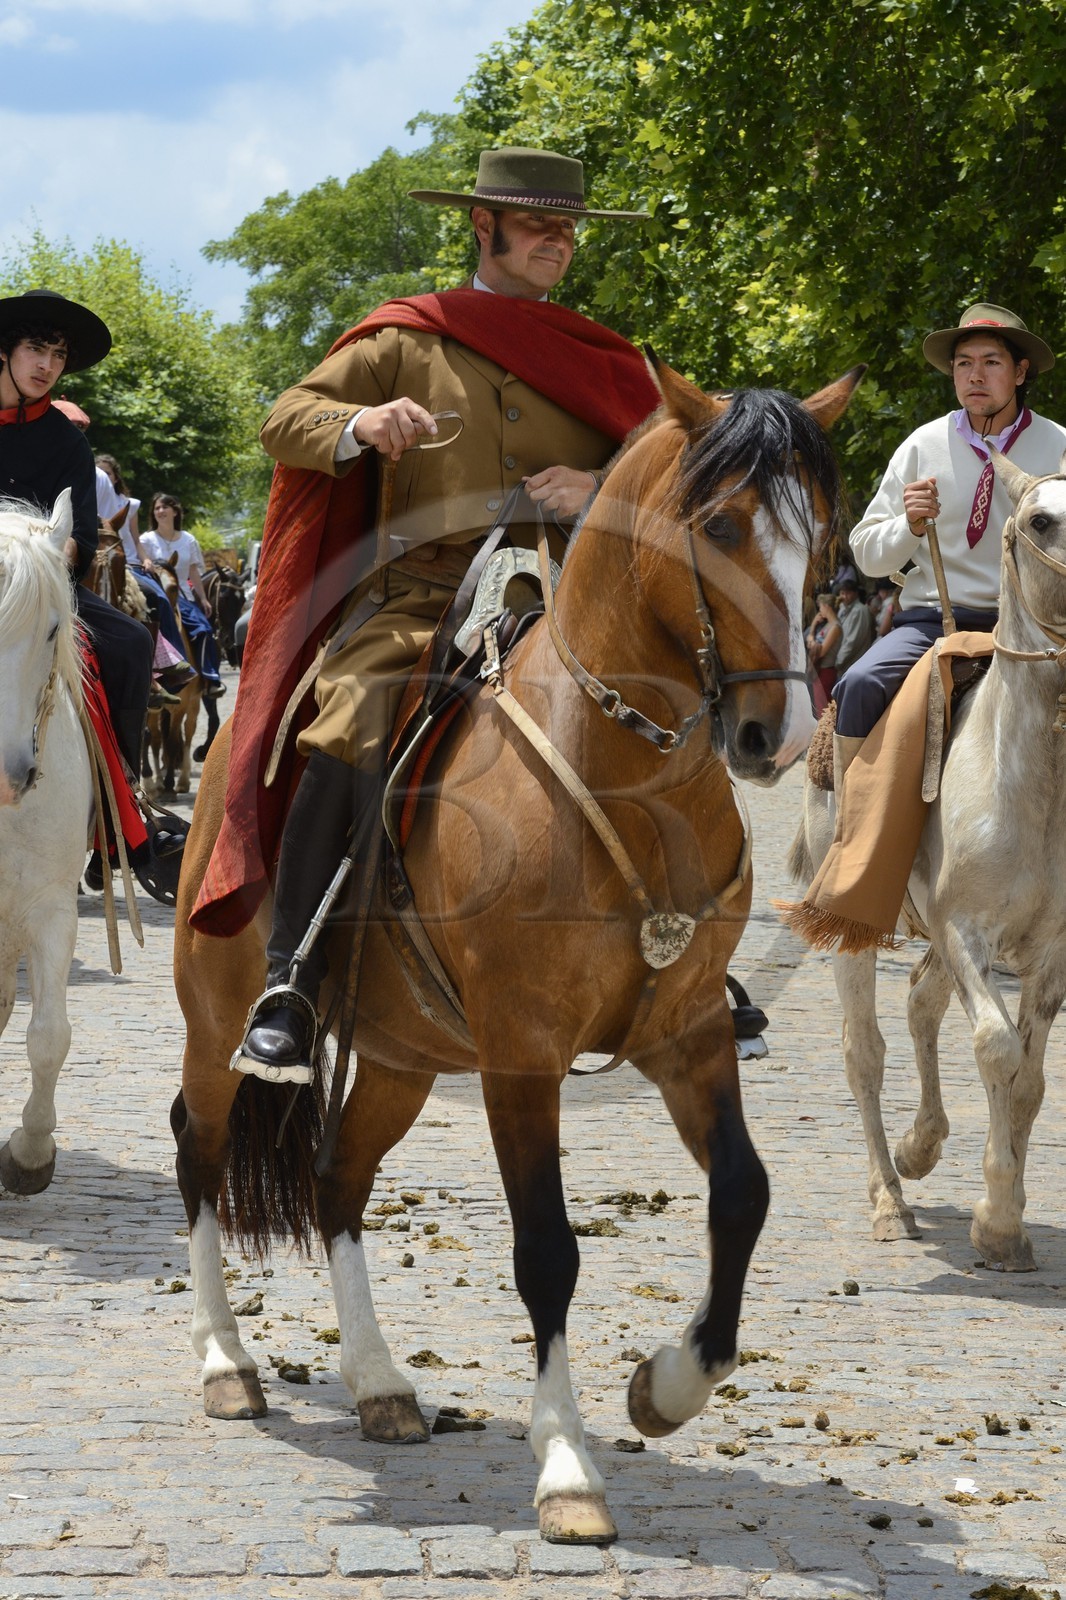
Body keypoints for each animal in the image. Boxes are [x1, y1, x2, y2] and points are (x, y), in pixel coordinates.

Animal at [171, 358, 861, 1542]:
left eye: (818, 534)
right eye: (720, 525)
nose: (778, 736)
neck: (622, 784)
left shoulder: (685, 1036)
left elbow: (743, 1194)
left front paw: (667, 1386)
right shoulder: (520, 1056)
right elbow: (547, 1249)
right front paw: (569, 1465)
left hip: (400, 1057)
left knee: (336, 1179)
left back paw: (379, 1382)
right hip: (219, 1021)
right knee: (203, 1153)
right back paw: (227, 1361)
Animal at [787, 449, 1066, 1271]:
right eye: (1042, 520)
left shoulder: (1048, 955)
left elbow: (1031, 1080)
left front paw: (1007, 1221)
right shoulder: (967, 933)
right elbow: (998, 1050)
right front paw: (997, 1219)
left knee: (918, 1003)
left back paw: (921, 1146)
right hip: (855, 932)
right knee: (865, 1053)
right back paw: (891, 1199)